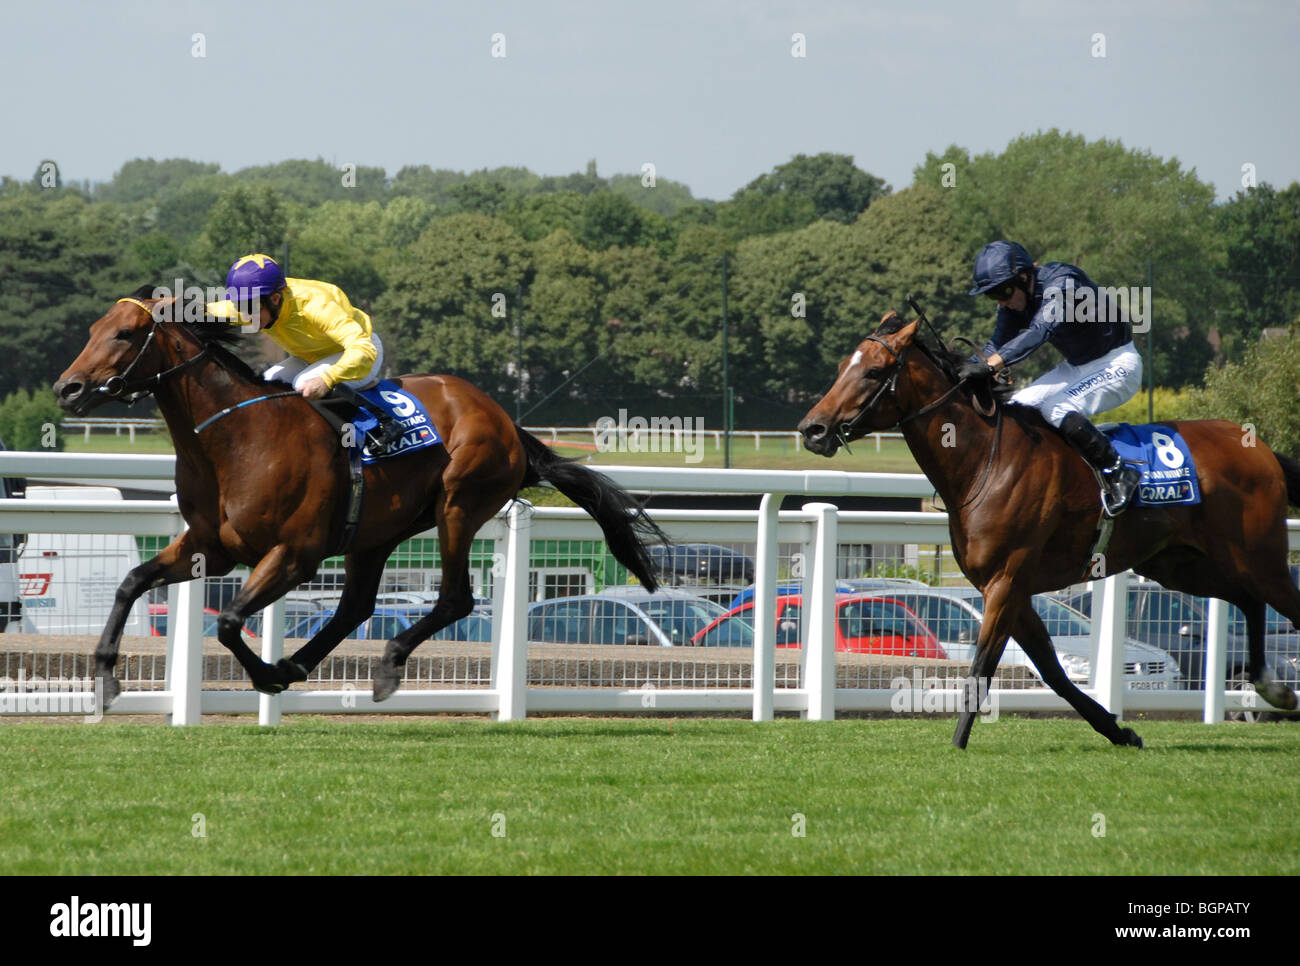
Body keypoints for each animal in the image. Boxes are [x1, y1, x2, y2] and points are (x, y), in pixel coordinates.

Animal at [54, 291, 665, 707]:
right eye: (95, 327)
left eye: (127, 333)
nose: (67, 388)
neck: (236, 439)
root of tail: (505, 419)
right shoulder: (210, 547)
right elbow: (132, 582)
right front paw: (105, 675)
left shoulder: (294, 554)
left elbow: (227, 621)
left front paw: (264, 675)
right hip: (376, 531)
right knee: (356, 606)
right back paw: (298, 665)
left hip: (458, 505)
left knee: (454, 599)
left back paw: (381, 664)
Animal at [795, 313, 1300, 754]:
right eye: (841, 367)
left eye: (874, 371)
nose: (811, 428)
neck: (985, 462)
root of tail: (1261, 449)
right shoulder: (1007, 588)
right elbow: (1053, 672)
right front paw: (1120, 732)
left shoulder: (1006, 582)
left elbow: (981, 667)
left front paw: (956, 744)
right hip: (1180, 565)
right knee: (1248, 601)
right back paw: (1272, 688)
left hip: (1259, 557)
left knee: (1279, 603)